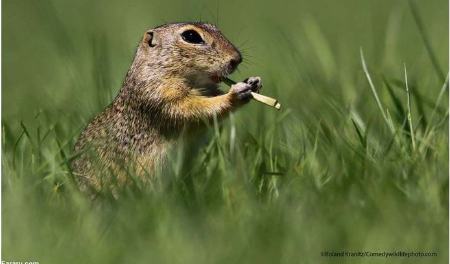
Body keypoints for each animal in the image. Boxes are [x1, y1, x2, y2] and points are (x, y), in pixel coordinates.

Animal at [72, 22, 262, 195]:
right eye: (191, 36)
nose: (236, 59)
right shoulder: (161, 97)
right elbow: (195, 109)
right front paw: (236, 93)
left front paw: (253, 81)